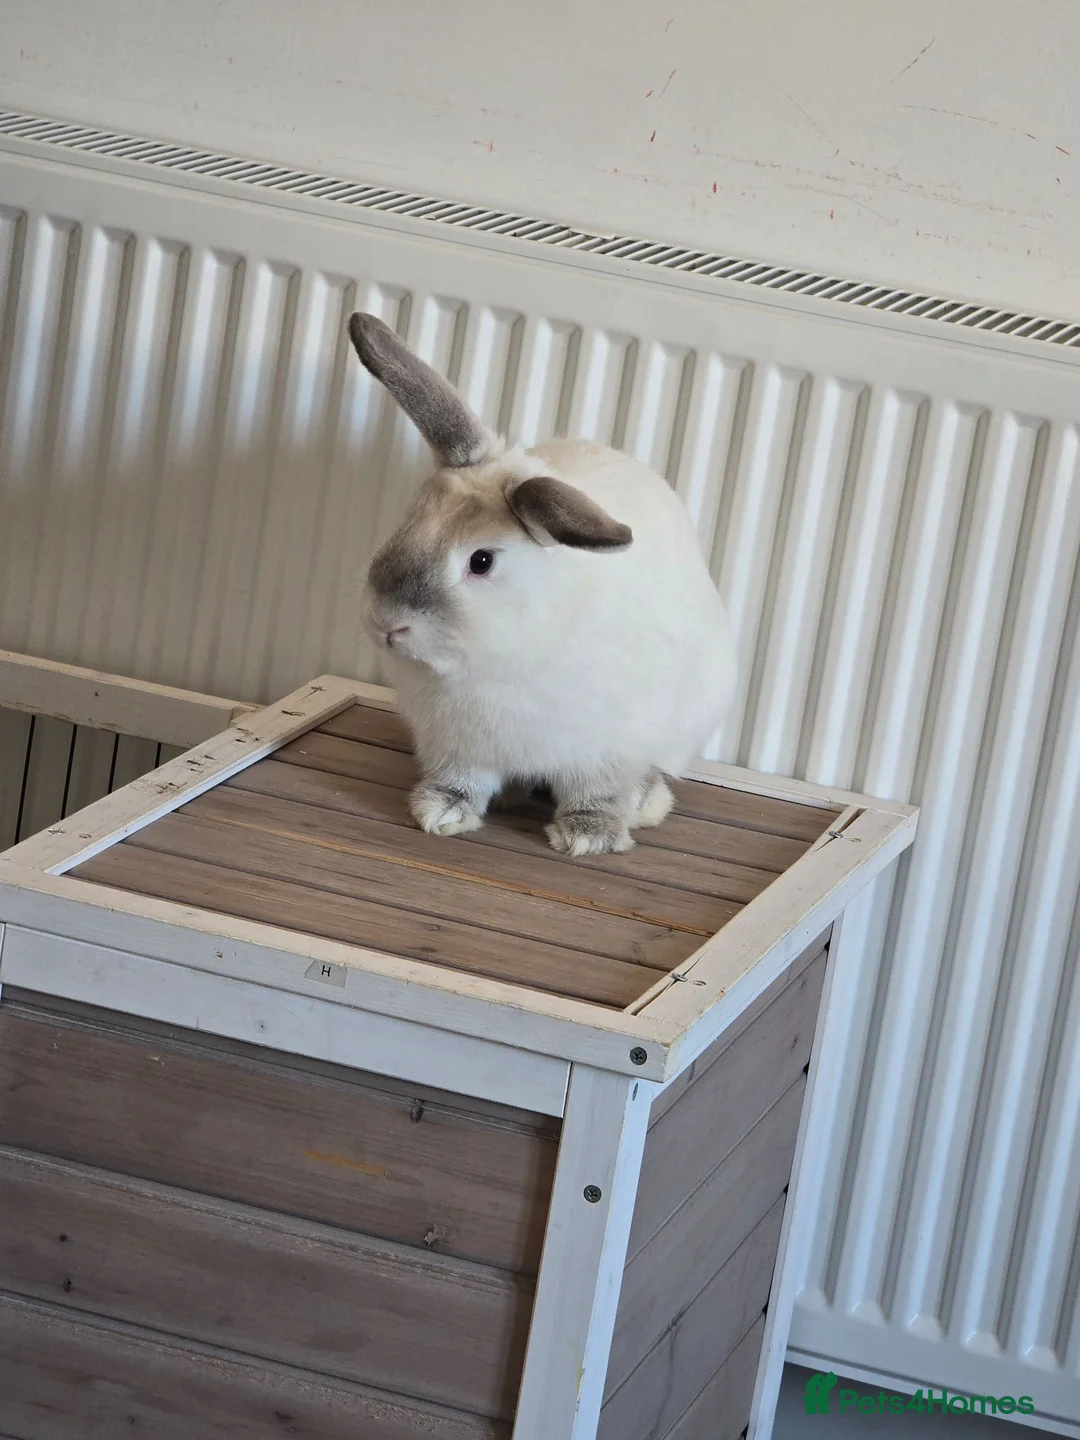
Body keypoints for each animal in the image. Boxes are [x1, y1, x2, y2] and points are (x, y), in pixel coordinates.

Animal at [348, 311, 737, 857]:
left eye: (482, 561)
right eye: (409, 520)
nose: (387, 624)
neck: (506, 653)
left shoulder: (606, 748)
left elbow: (600, 790)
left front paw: (586, 839)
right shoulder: (455, 743)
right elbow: (461, 780)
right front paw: (441, 813)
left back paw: (644, 805)